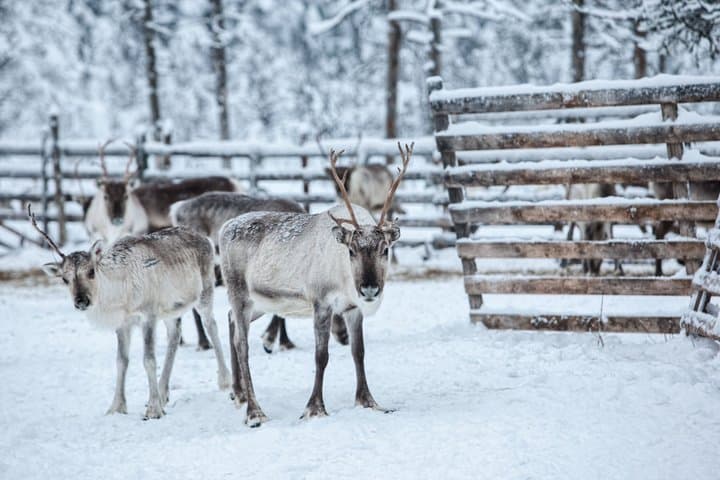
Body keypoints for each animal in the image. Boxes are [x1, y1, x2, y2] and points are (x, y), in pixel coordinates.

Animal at [29, 204, 231, 420]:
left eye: (91, 271)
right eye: (64, 279)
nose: (82, 301)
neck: (120, 296)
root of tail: (205, 239)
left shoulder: (148, 315)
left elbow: (149, 359)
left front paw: (153, 409)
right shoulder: (123, 323)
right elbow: (121, 361)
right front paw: (116, 407)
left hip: (205, 290)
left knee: (211, 325)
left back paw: (224, 380)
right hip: (171, 308)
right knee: (174, 335)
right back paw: (163, 392)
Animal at [219, 142, 411, 427]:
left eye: (385, 249)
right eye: (351, 250)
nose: (369, 289)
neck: (345, 280)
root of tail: (224, 228)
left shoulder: (352, 309)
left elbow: (359, 352)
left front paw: (369, 401)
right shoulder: (322, 303)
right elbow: (321, 356)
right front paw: (314, 408)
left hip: (260, 303)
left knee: (230, 320)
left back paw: (239, 394)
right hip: (239, 292)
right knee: (242, 344)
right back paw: (255, 412)